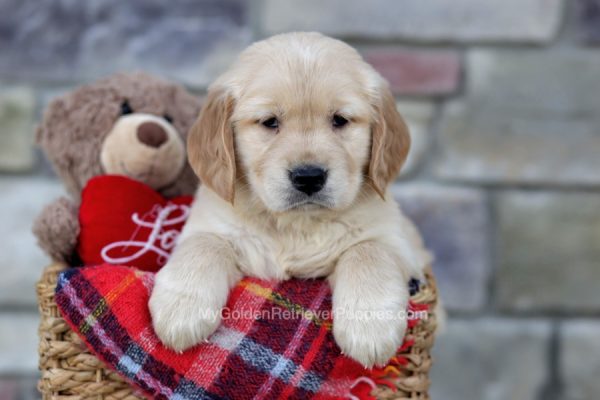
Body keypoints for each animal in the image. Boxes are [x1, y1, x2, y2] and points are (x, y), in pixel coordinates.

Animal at [150, 31, 432, 368]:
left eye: (340, 120)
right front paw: (180, 310)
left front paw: (369, 327)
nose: (308, 177)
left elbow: (368, 250)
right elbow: (204, 245)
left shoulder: (397, 241)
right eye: (270, 122)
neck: (297, 226)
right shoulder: (209, 224)